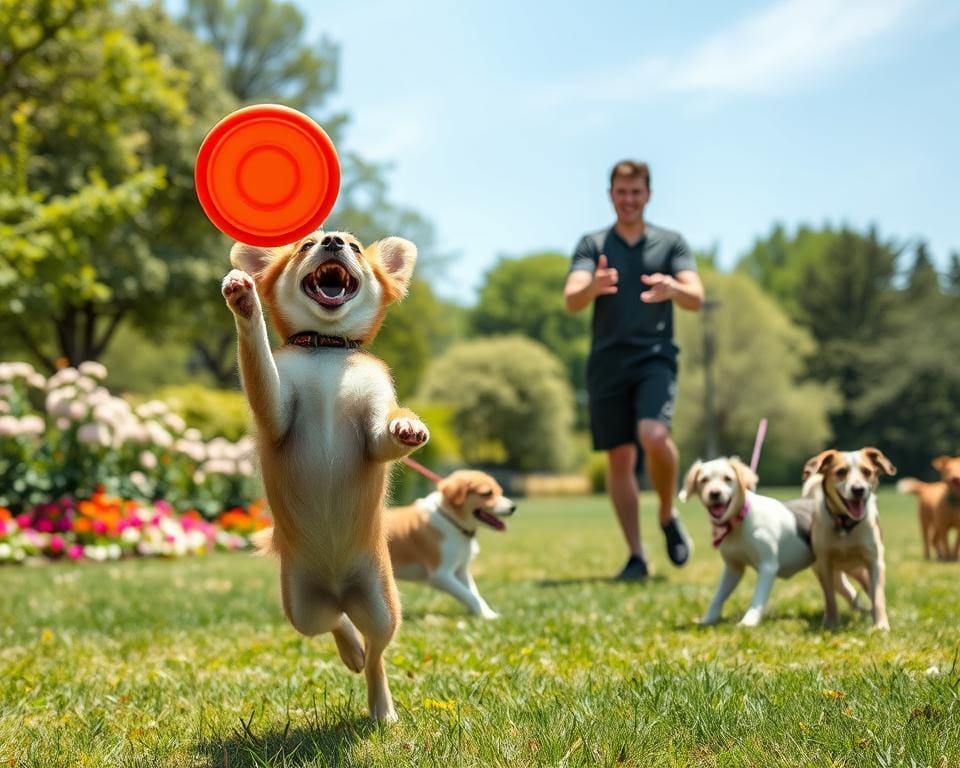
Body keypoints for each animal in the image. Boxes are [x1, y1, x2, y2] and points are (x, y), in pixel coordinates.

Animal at [223, 231, 426, 724]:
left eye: (353, 246)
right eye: (304, 246)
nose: (332, 240)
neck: (326, 351)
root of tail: (338, 590)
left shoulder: (374, 421)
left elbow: (385, 434)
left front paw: (407, 425)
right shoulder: (275, 410)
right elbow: (259, 369)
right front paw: (245, 302)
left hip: (382, 603)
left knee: (377, 653)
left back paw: (381, 704)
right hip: (302, 606)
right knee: (336, 624)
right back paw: (350, 650)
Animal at [386, 468, 512, 616]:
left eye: (499, 491)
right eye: (487, 493)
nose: (513, 507)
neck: (451, 521)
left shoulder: (461, 569)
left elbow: (474, 594)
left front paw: (486, 614)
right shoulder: (440, 575)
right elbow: (469, 595)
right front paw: (485, 615)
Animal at [808, 448, 896, 632]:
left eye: (867, 471)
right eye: (841, 472)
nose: (858, 489)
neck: (846, 524)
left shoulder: (874, 560)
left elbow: (878, 595)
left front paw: (881, 625)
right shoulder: (824, 562)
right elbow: (829, 597)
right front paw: (831, 623)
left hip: (861, 571)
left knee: (867, 589)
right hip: (832, 574)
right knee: (846, 591)